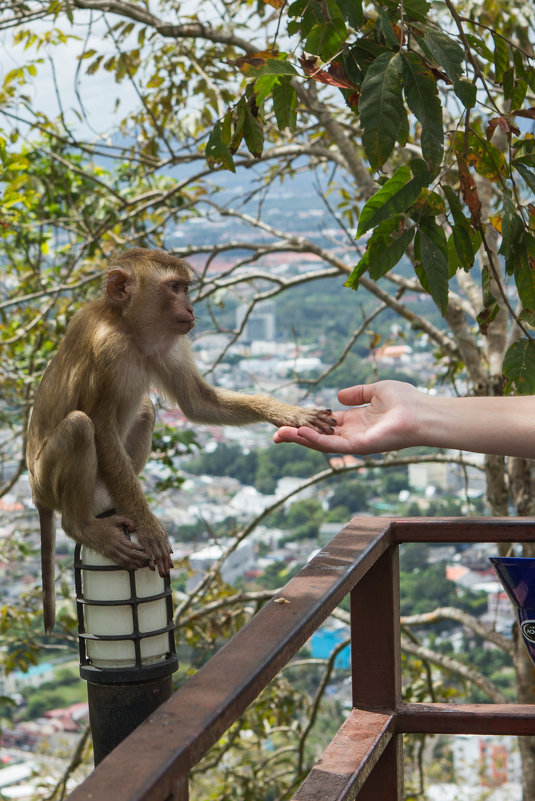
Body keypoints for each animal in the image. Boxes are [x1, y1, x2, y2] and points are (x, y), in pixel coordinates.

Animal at [26, 247, 336, 636]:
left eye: (185, 288)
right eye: (175, 287)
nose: (190, 307)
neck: (126, 328)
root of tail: (35, 491)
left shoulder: (167, 344)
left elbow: (197, 401)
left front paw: (290, 414)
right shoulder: (107, 350)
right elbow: (101, 428)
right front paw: (149, 527)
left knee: (145, 410)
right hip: (48, 477)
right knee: (80, 426)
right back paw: (82, 525)